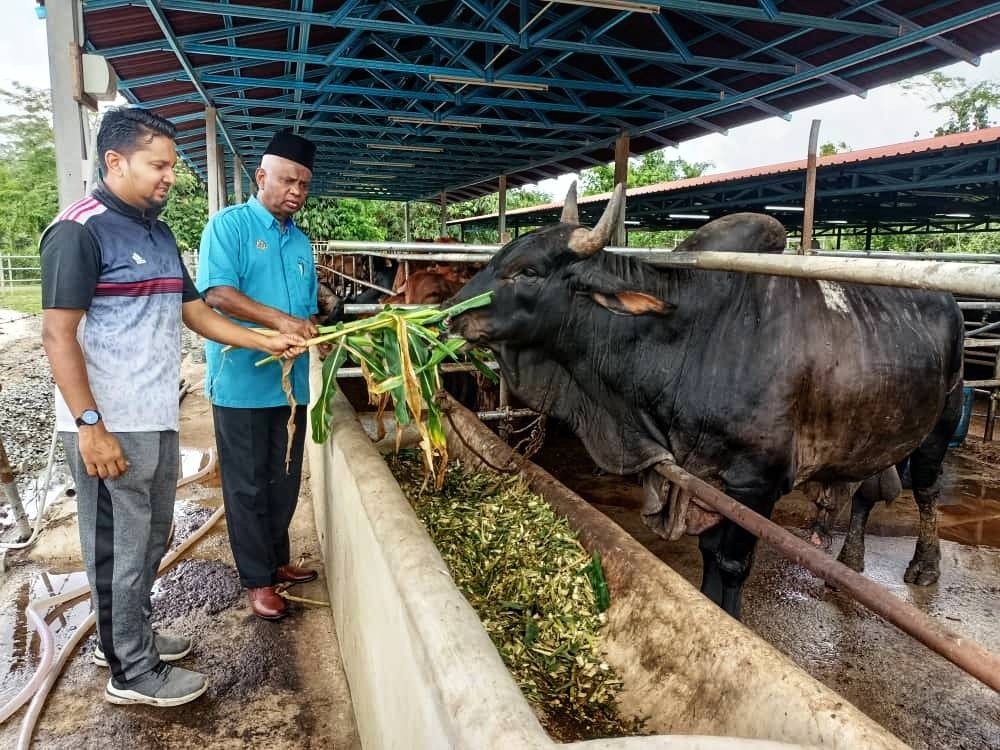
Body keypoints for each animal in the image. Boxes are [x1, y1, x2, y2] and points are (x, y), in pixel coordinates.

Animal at [450, 182, 964, 616]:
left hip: (940, 425)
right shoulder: (702, 480)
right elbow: (709, 555)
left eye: (528, 272)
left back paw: (925, 564)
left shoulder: (754, 484)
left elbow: (732, 564)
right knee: (863, 492)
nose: (450, 314)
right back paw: (849, 561)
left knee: (926, 490)